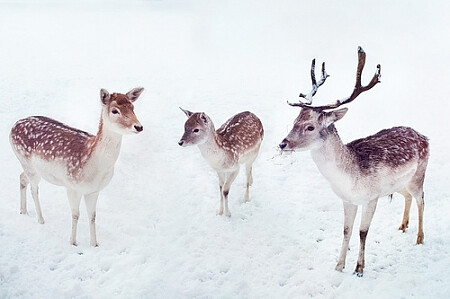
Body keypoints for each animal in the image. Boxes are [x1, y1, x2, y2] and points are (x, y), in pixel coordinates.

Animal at [8, 88, 144, 247]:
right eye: (115, 110)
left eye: (133, 107)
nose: (139, 126)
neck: (95, 167)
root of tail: (13, 127)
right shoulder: (72, 186)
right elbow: (75, 214)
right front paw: (73, 242)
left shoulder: (94, 190)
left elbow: (92, 216)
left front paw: (94, 244)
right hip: (26, 162)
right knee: (34, 189)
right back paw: (41, 219)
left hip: (32, 168)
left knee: (22, 177)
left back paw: (23, 210)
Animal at [278, 47, 428, 278]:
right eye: (295, 121)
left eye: (310, 127)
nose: (283, 144)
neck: (349, 178)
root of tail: (424, 136)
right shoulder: (347, 200)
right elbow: (346, 230)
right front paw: (339, 266)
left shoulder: (372, 197)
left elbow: (362, 231)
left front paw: (359, 269)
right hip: (399, 184)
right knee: (407, 197)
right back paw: (403, 225)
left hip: (418, 175)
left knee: (422, 199)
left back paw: (420, 238)